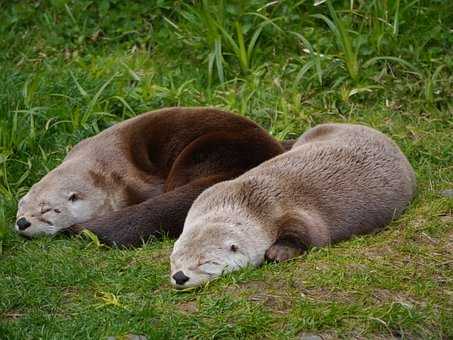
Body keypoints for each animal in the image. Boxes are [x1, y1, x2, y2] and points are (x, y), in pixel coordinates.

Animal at [170, 123, 416, 288]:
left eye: (205, 262)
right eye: (174, 260)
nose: (179, 276)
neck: (243, 200)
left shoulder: (287, 211)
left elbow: (309, 233)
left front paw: (278, 252)